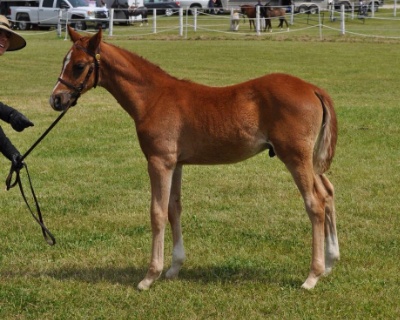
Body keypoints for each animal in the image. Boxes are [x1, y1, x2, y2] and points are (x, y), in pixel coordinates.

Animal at [48, 26, 340, 292]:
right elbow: (173, 209)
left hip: (294, 157)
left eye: (79, 65)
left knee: (314, 203)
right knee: (327, 193)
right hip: (308, 160)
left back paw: (312, 276)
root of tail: (312, 88)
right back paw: (330, 262)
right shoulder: (175, 164)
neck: (153, 98)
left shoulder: (159, 162)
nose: (56, 99)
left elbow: (156, 212)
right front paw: (174, 267)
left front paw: (149, 276)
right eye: (64, 61)